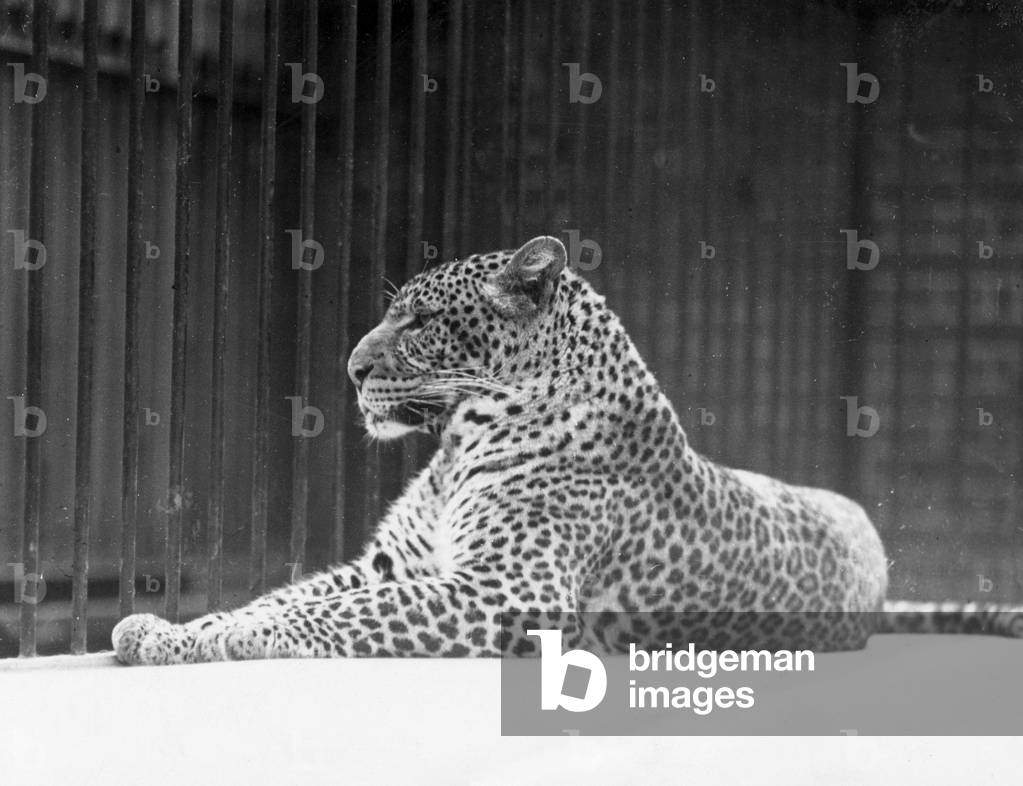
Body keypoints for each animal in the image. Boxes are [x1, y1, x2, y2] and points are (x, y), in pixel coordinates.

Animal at [113, 235, 1023, 665]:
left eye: (420, 321)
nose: (351, 367)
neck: (459, 441)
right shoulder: (392, 565)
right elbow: (286, 593)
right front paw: (172, 629)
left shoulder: (508, 591)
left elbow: (322, 612)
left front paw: (214, 642)